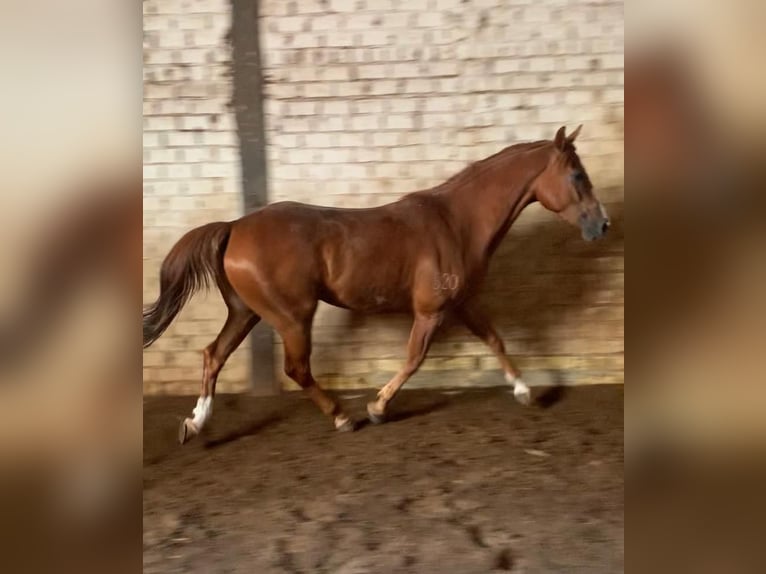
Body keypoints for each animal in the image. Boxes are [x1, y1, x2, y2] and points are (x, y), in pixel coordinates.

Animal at [146, 126, 612, 446]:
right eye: (577, 176)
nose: (602, 225)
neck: (455, 222)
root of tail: (234, 226)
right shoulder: (430, 311)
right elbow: (413, 359)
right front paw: (375, 407)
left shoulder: (463, 303)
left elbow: (495, 339)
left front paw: (525, 391)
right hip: (292, 316)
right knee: (296, 368)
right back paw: (342, 417)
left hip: (247, 312)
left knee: (214, 355)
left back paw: (195, 424)